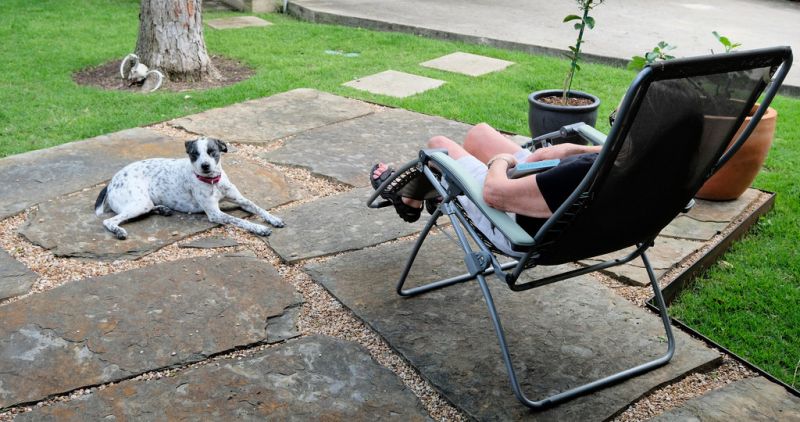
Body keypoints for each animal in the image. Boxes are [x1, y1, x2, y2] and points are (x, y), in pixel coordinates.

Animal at [96, 137, 284, 239]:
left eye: (212, 151)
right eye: (195, 154)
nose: (205, 166)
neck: (213, 182)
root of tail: (111, 181)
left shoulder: (241, 200)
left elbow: (259, 208)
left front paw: (274, 219)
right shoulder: (215, 214)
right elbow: (242, 221)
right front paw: (260, 229)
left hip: (144, 203)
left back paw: (162, 209)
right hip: (139, 203)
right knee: (109, 221)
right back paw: (119, 231)